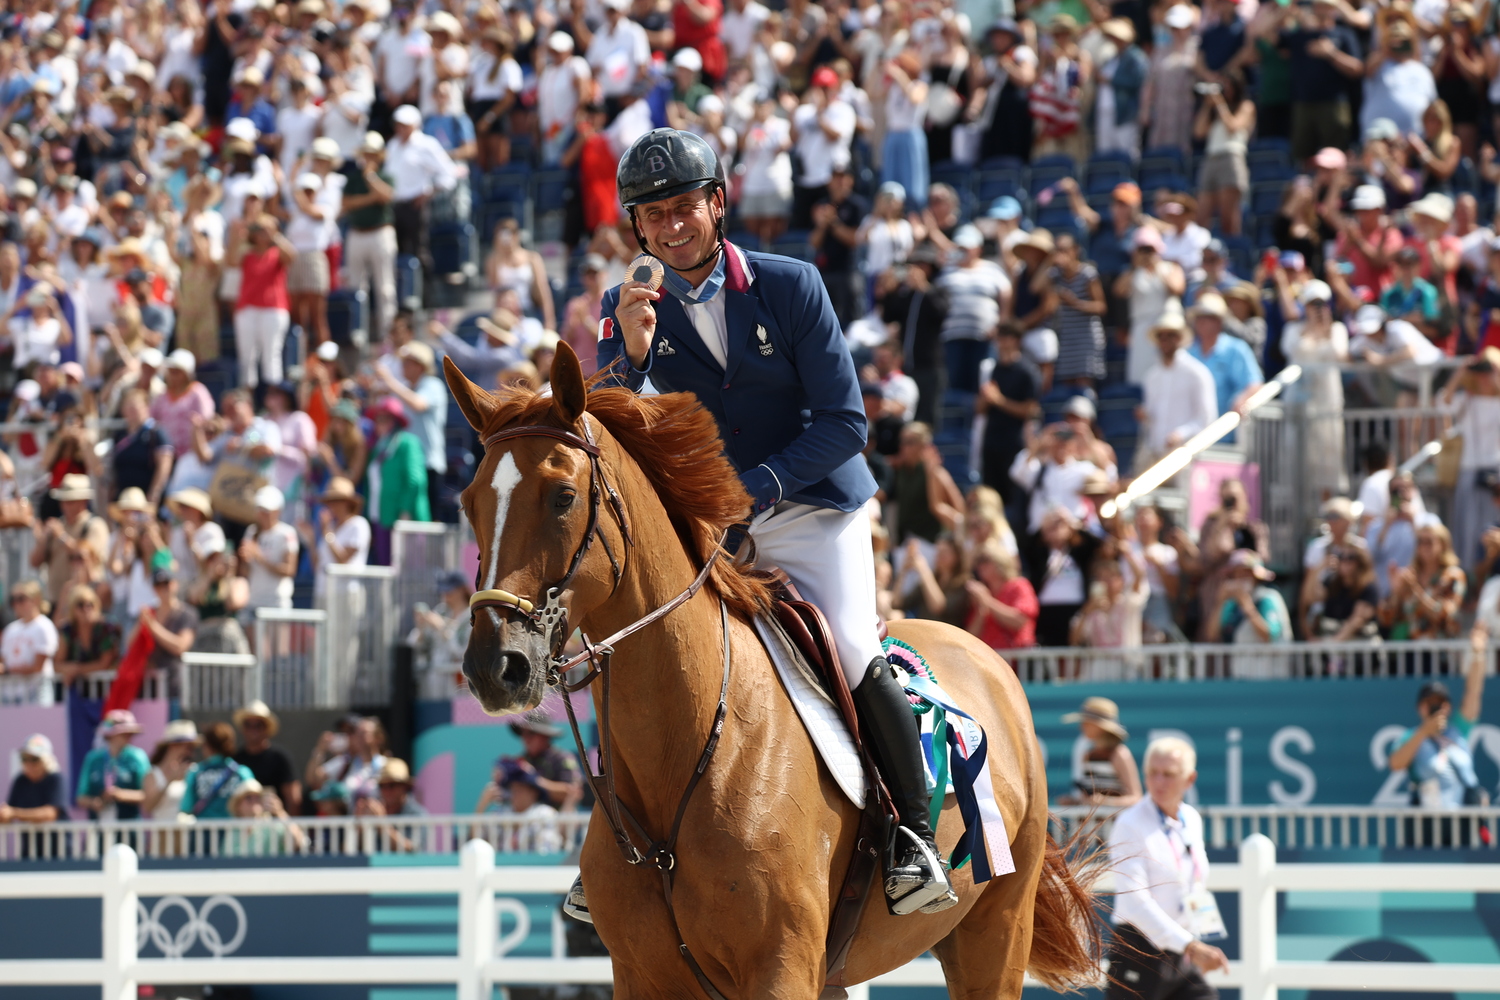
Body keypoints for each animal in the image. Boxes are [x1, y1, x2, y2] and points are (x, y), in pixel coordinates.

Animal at [438, 346, 1098, 1000]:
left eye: (564, 496)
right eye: (468, 504)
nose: (495, 667)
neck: (687, 747)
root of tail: (985, 657)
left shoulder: (780, 967)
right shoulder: (641, 974)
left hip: (995, 932)